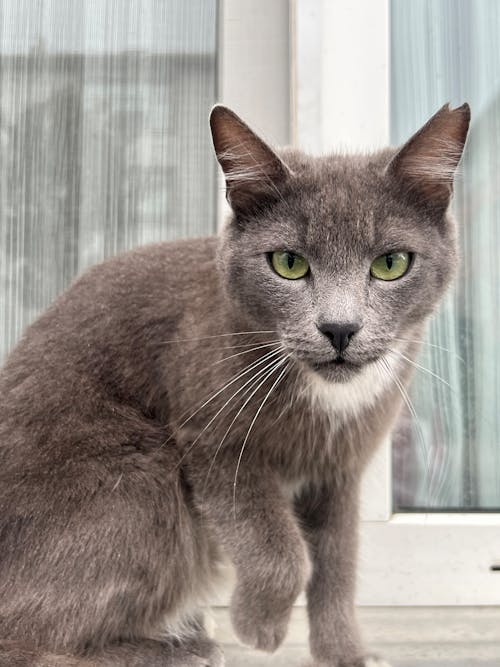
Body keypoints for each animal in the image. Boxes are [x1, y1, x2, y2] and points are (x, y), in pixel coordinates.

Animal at [0, 100, 468, 667]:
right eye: (288, 263)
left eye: (391, 263)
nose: (339, 328)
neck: (322, 395)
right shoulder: (212, 440)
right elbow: (281, 550)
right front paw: (258, 627)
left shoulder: (341, 468)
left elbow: (337, 562)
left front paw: (345, 652)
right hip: (142, 476)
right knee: (27, 639)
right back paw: (181, 649)